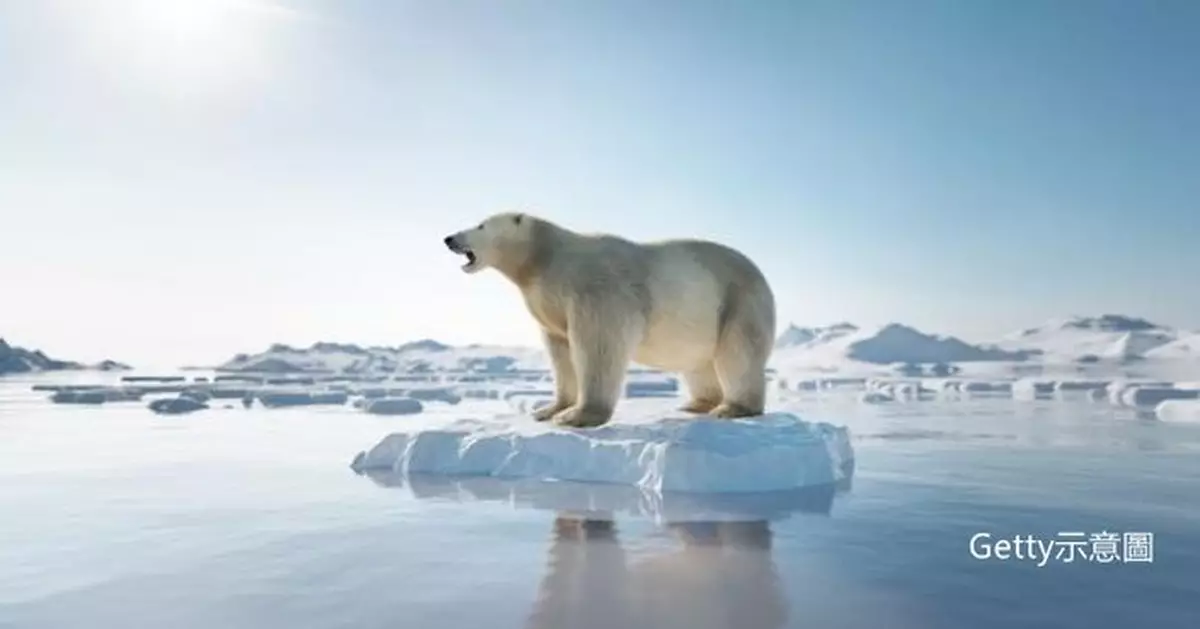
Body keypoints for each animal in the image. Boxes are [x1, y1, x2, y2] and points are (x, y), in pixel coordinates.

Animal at [446, 212, 772, 427]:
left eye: (480, 224)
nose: (449, 238)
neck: (547, 258)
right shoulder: (550, 305)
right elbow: (560, 352)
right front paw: (549, 409)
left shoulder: (595, 289)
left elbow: (598, 344)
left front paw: (577, 415)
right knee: (698, 362)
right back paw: (696, 404)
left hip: (739, 302)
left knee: (738, 354)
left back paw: (732, 407)